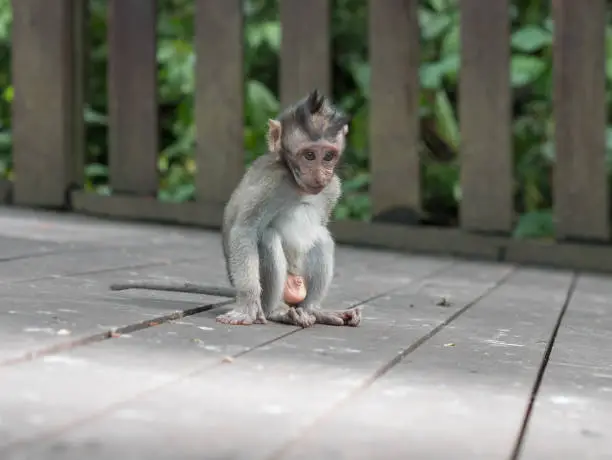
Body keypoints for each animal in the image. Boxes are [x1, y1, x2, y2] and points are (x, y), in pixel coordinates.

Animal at [110, 89, 360, 328]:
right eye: (309, 155)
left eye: (328, 156)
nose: (320, 175)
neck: (297, 185)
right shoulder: (270, 183)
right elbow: (245, 231)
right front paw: (248, 305)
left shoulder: (333, 188)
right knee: (269, 237)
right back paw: (277, 312)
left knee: (322, 237)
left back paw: (314, 310)